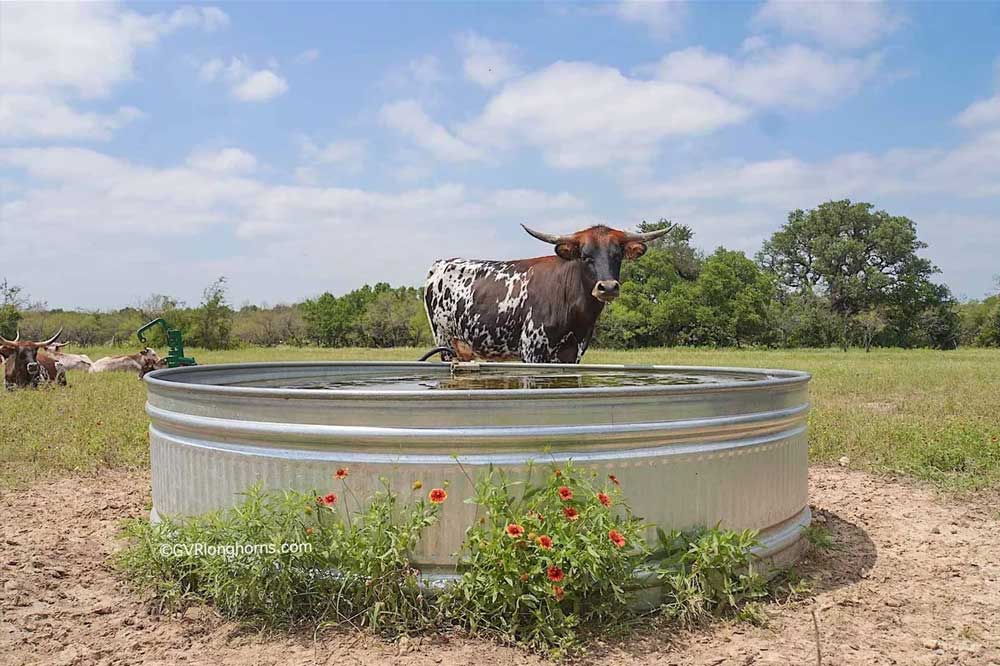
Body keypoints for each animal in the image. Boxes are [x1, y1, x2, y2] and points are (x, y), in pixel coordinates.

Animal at [422, 223, 672, 360]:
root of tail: (440, 264)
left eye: (617, 255)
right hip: (445, 341)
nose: (608, 287)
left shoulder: (573, 355)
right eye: (585, 256)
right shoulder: (533, 351)